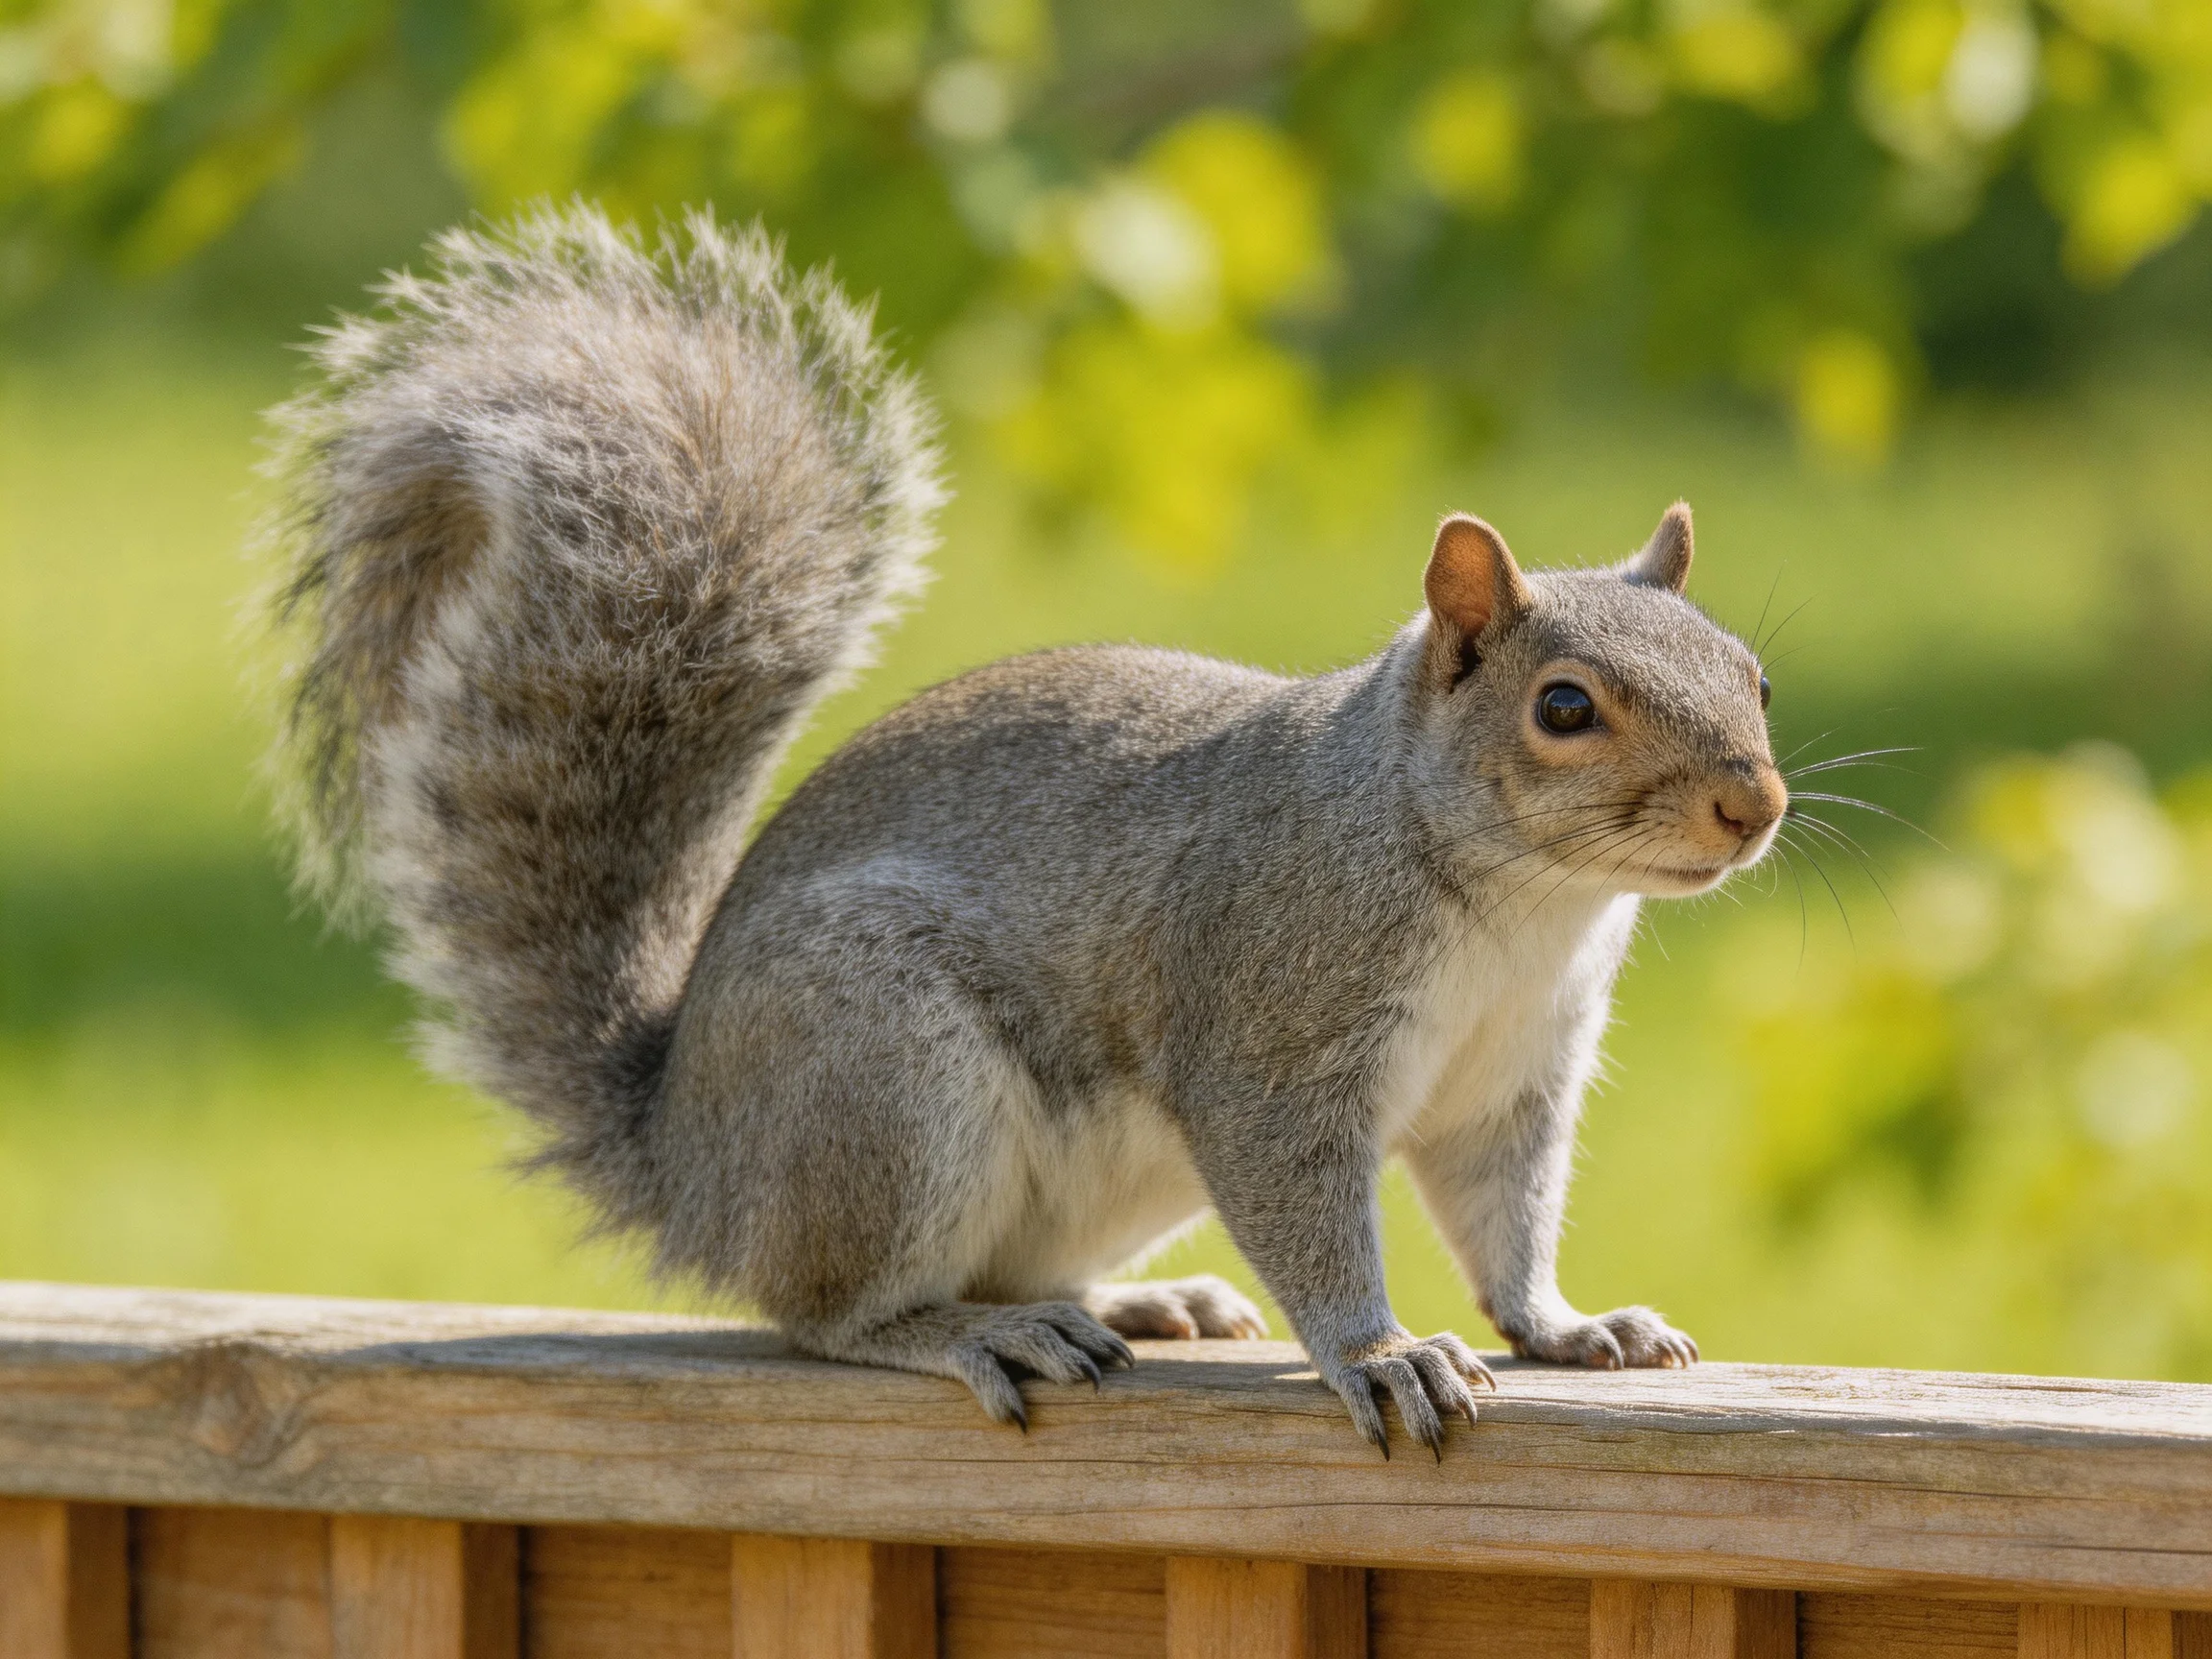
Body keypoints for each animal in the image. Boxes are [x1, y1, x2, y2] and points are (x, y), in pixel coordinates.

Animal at [264, 204, 1787, 1457]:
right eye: (1564, 706)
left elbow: (1503, 1218)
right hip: (882, 1074)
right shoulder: (1271, 1035)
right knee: (825, 1309)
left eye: (1753, 674)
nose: (1755, 803)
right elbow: (1308, 1211)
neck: (1522, 904)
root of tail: (690, 1161)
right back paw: (969, 1329)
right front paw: (1381, 1353)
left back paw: (1147, 1301)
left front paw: (1567, 1329)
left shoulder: (1513, 1080)